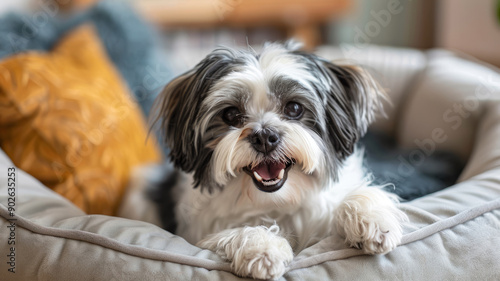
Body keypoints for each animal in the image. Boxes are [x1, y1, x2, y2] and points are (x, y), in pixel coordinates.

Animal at [124, 40, 406, 278]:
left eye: (294, 108)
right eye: (230, 114)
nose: (264, 136)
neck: (276, 203)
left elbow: (356, 198)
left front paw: (372, 219)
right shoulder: (197, 237)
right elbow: (231, 235)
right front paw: (263, 248)